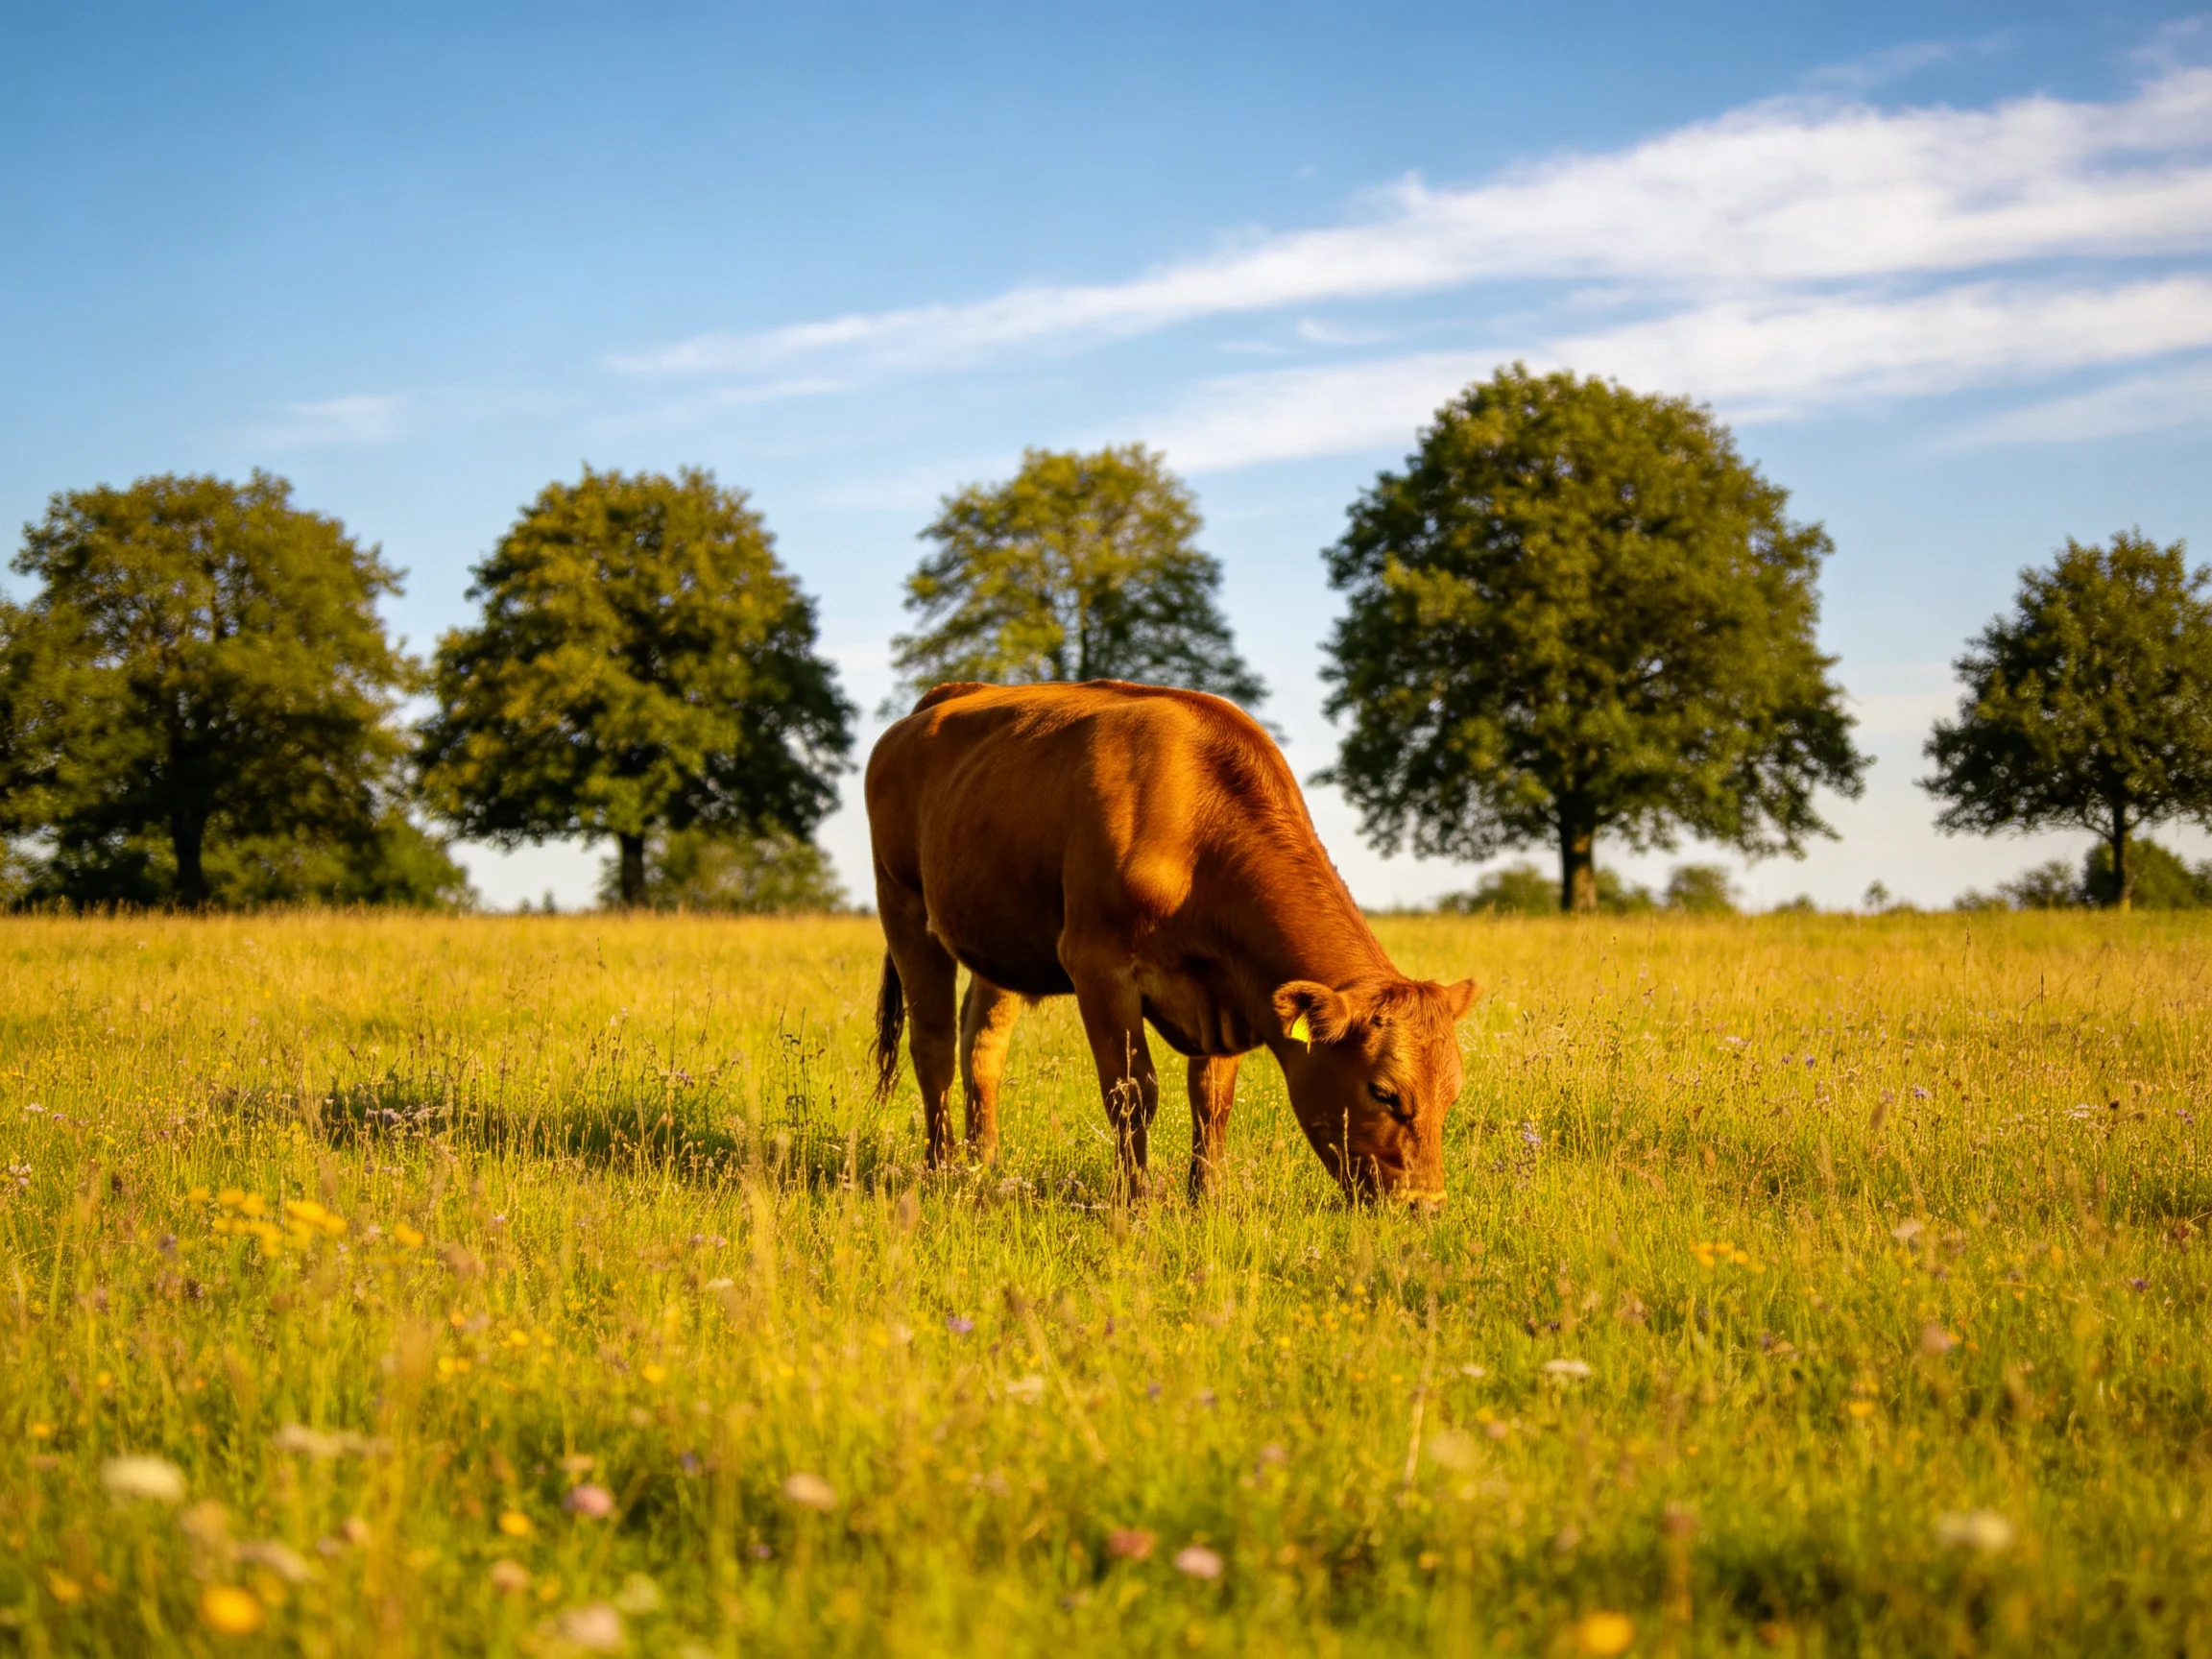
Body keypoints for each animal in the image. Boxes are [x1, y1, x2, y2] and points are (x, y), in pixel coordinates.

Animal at [864, 679, 1479, 1203]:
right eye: (1384, 1092)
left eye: (1452, 1094)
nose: (1425, 1205)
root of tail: (945, 697)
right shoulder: (1098, 965)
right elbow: (1133, 1092)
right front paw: (1134, 1201)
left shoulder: (1228, 990)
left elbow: (1211, 1098)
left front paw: (1205, 1198)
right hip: (901, 904)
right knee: (934, 1045)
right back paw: (940, 1170)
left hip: (999, 938)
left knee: (982, 1046)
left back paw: (982, 1164)